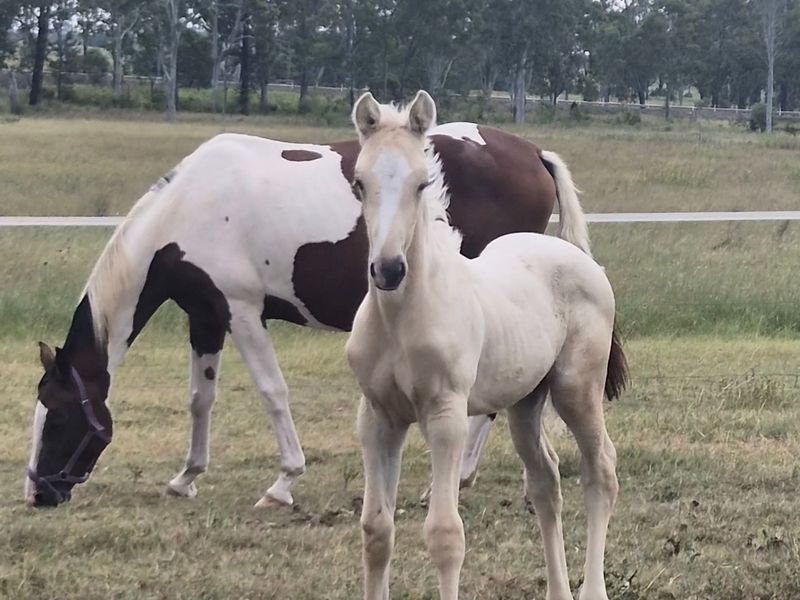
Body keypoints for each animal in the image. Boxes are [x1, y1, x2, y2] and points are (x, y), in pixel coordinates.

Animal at [26, 110, 590, 509]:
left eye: (57, 416)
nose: (38, 493)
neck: (189, 207)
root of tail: (531, 152)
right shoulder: (205, 317)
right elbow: (200, 398)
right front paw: (186, 477)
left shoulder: (243, 312)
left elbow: (272, 392)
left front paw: (283, 482)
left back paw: (453, 483)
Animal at [345, 91, 627, 600]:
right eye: (360, 183)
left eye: (422, 183)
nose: (389, 270)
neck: (402, 319)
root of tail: (580, 259)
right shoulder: (378, 418)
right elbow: (376, 530)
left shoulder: (446, 416)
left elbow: (445, 534)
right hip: (525, 402)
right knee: (545, 483)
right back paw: (559, 590)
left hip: (576, 390)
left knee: (601, 471)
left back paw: (592, 588)